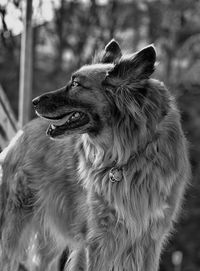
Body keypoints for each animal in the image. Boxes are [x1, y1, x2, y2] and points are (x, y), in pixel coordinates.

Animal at [0, 40, 191, 271]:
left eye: (76, 84)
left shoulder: (149, 240)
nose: (34, 101)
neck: (127, 155)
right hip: (13, 230)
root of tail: (21, 132)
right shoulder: (97, 239)